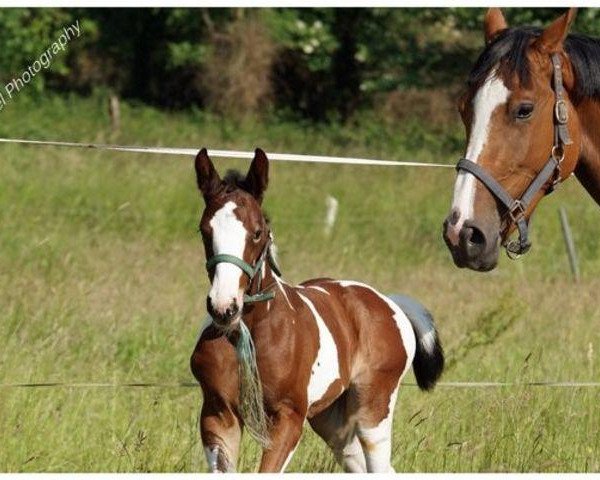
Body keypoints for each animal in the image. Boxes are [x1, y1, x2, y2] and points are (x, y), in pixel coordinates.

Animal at [190, 149, 442, 472]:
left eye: (258, 232)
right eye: (204, 231)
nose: (224, 306)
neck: (250, 332)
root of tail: (388, 302)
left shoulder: (289, 417)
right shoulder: (218, 414)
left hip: (373, 411)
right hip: (331, 418)